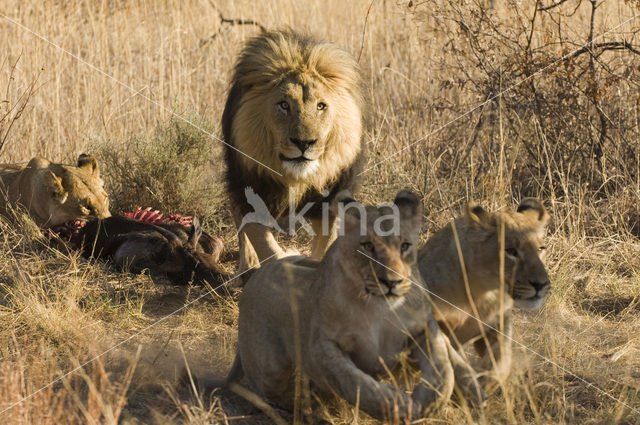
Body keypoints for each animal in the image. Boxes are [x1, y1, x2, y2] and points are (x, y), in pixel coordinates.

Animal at [222, 30, 364, 274]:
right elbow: (265, 244)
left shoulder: (332, 197)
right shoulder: (246, 187)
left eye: (320, 106)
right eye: (284, 105)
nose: (304, 143)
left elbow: (326, 244)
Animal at [228, 190, 482, 420]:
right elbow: (353, 381)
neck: (379, 308)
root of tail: (256, 278)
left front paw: (429, 403)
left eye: (405, 246)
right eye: (367, 246)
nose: (392, 282)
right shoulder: (321, 346)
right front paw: (395, 405)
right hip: (271, 368)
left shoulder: (424, 328)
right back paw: (306, 407)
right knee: (272, 391)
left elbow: (443, 371)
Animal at [420, 199, 552, 384]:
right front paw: (470, 380)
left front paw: (486, 378)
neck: (484, 292)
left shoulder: (499, 322)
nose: (541, 284)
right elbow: (452, 358)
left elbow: (503, 359)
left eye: (540, 249)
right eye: (511, 251)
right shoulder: (428, 321)